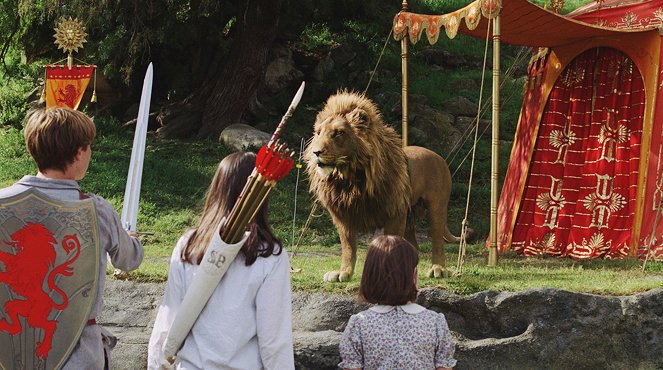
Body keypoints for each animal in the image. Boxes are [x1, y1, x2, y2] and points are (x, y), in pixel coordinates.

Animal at [0, 223, 81, 358]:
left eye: (22, 232)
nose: (12, 235)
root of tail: (49, 300)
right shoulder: (13, 262)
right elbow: (6, 256)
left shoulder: (16, 276)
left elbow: (6, 276)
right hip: (25, 309)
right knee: (14, 313)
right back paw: (10, 327)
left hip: (36, 315)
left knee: (50, 325)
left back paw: (43, 348)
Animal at [304, 91, 462, 282]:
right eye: (318, 133)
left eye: (338, 133)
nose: (316, 152)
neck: (349, 179)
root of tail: (438, 157)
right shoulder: (343, 215)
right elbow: (348, 247)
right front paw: (344, 273)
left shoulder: (394, 213)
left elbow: (390, 245)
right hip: (410, 214)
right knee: (414, 246)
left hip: (436, 206)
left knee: (437, 239)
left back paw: (438, 269)